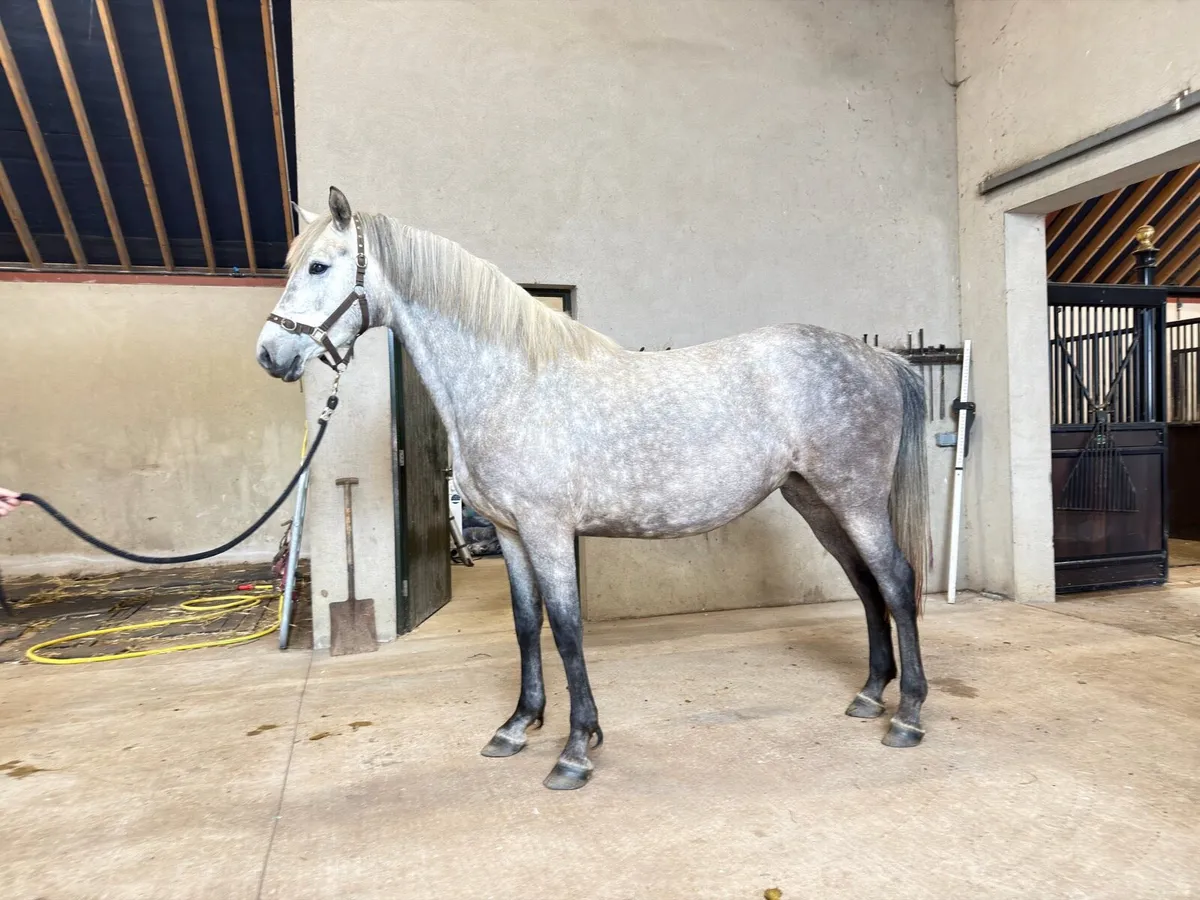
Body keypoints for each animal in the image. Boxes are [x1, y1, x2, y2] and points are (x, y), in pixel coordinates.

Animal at [256, 186, 930, 791]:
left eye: (319, 266)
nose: (270, 354)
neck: (511, 385)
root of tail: (881, 361)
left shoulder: (547, 529)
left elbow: (565, 627)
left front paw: (577, 749)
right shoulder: (510, 532)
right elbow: (525, 623)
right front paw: (517, 726)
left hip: (855, 499)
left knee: (896, 581)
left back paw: (908, 716)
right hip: (816, 502)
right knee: (865, 584)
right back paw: (871, 695)